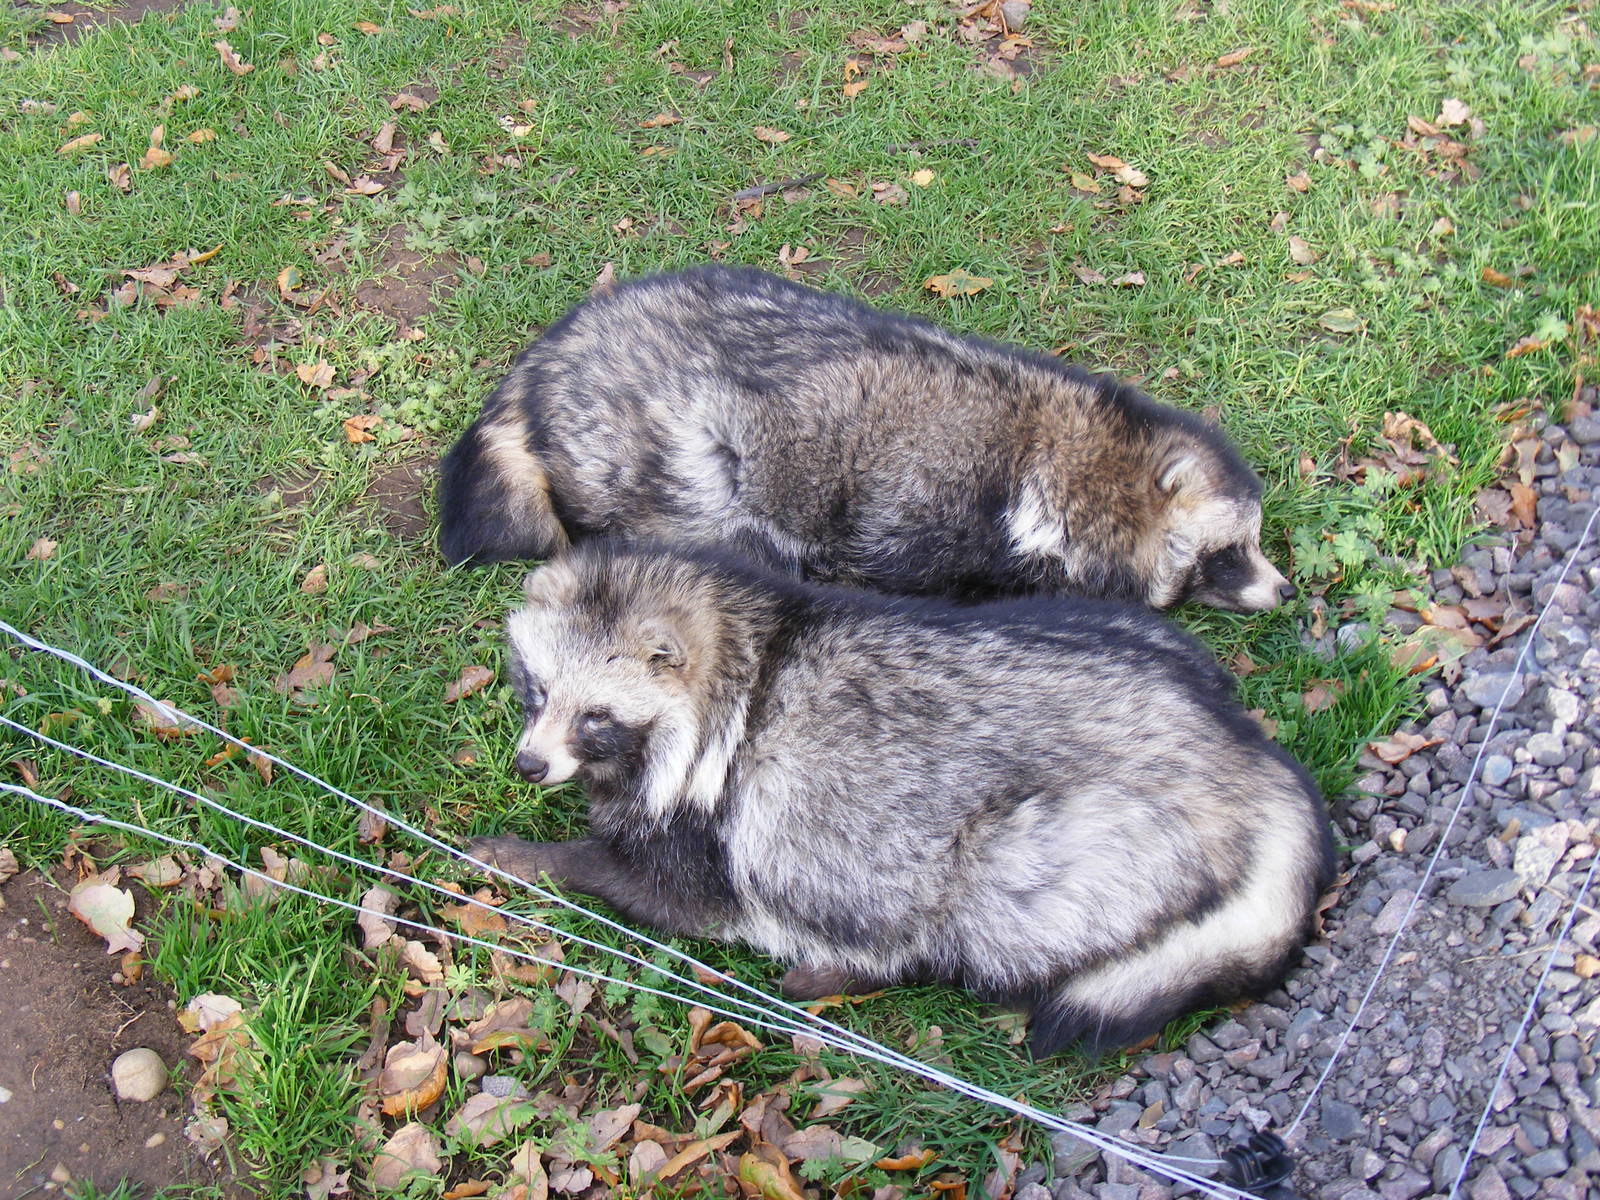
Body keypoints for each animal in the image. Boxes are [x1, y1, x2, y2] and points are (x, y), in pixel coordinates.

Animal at [438, 266, 1295, 611]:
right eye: (1229, 553)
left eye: (1255, 544)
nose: (1285, 590)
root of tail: (551, 356)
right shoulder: (940, 520)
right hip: (663, 450)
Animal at [469, 543, 1335, 1056]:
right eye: (536, 691)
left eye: (596, 717)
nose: (529, 766)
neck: (745, 647)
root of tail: (1248, 759)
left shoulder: (714, 824)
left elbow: (665, 890)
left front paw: (533, 855)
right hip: (1130, 629)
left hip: (1087, 840)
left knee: (972, 908)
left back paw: (866, 965)